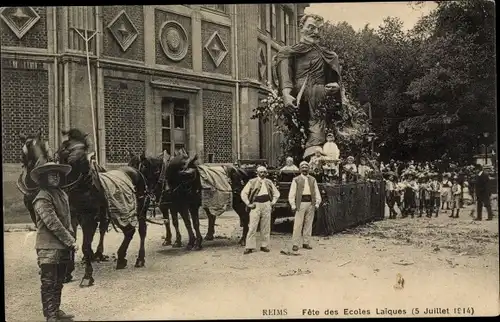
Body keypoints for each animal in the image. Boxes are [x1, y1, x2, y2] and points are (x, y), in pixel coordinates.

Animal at [56, 128, 148, 286]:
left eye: (85, 149)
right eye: (66, 147)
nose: (86, 173)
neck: (80, 189)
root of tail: (135, 170)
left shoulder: (90, 219)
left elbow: (86, 247)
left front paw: (87, 276)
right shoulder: (72, 218)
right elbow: (71, 242)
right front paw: (67, 274)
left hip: (139, 210)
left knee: (141, 230)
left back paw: (140, 259)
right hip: (119, 212)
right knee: (129, 231)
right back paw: (121, 258)